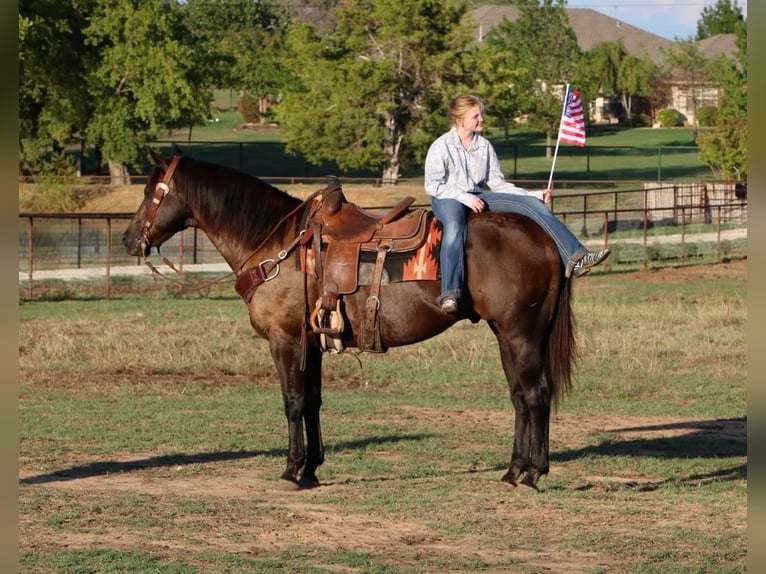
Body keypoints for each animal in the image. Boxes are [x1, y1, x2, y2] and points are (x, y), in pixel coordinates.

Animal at [121, 151, 576, 492]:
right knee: (519, 397)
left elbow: (292, 402)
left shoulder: (285, 340)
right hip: (507, 335)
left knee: (536, 394)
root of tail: (544, 239)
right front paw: (311, 469)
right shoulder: (312, 342)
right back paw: (513, 470)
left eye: (149, 191)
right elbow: (312, 402)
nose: (128, 239)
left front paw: (291, 470)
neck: (277, 245)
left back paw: (533, 474)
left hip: (521, 334)